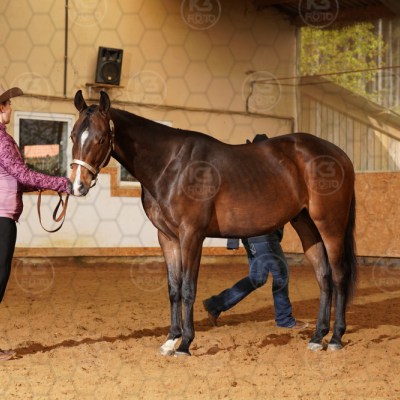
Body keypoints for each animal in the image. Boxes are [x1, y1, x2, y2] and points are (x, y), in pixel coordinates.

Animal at [69, 90, 357, 356]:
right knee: (324, 276)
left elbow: (188, 288)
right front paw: (170, 340)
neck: (172, 165)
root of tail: (339, 154)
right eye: (72, 136)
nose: (77, 186)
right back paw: (317, 337)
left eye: (101, 138)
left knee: (339, 275)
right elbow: (173, 288)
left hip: (330, 225)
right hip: (307, 225)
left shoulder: (192, 235)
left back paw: (335, 338)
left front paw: (185, 344)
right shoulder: (168, 237)